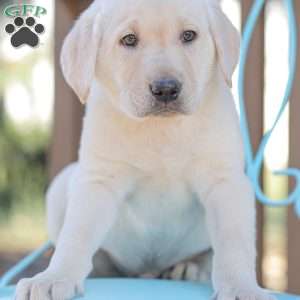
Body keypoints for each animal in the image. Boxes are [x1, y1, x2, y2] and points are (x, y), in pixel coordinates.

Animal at [15, 0, 274, 298]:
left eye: (189, 35)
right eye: (129, 40)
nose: (166, 89)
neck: (160, 128)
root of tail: (148, 272)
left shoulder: (226, 182)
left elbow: (234, 241)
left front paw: (242, 286)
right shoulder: (98, 180)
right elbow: (76, 234)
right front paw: (54, 277)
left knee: (208, 255)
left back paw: (188, 268)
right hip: (62, 184)